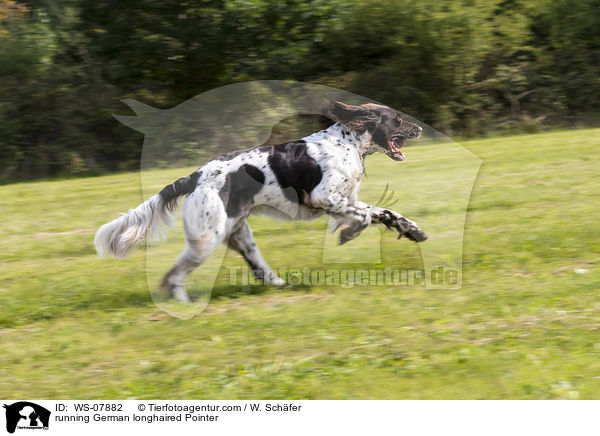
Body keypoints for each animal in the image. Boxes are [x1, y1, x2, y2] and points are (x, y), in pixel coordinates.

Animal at [95, 100, 426, 302]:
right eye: (397, 120)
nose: (420, 128)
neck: (347, 143)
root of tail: (195, 176)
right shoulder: (325, 197)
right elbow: (369, 215)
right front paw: (350, 234)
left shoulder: (343, 200)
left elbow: (379, 213)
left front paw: (411, 229)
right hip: (207, 238)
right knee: (174, 276)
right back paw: (184, 303)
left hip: (238, 231)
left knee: (256, 266)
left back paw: (277, 283)